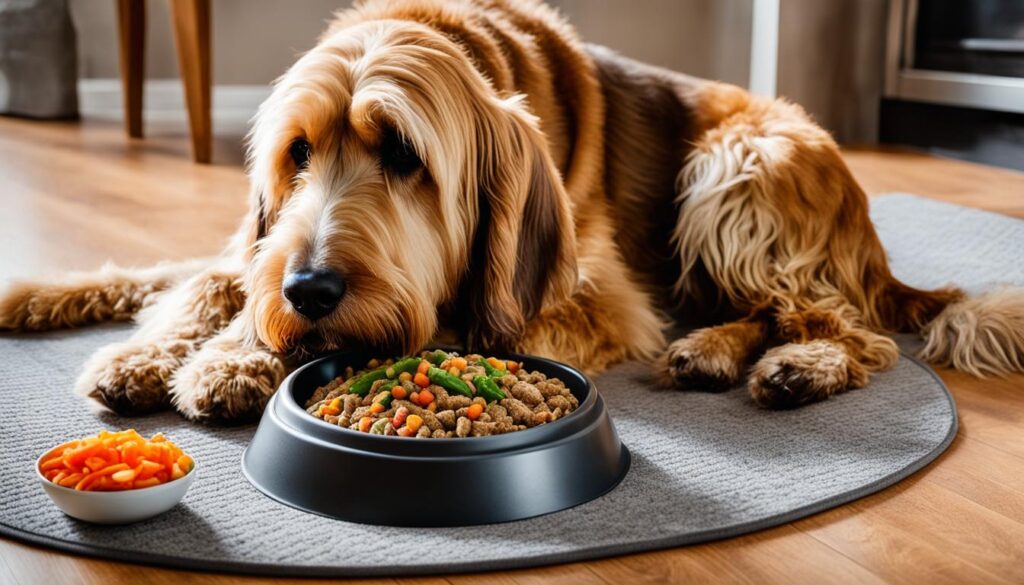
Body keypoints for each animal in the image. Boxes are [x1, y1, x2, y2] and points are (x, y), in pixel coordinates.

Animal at [2, 0, 1024, 422]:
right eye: (297, 155)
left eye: (403, 155)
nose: (312, 288)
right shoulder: (255, 243)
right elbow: (184, 279)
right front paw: (113, 334)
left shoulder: (584, 298)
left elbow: (419, 320)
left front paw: (231, 358)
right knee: (770, 310)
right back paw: (710, 349)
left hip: (732, 173)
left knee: (844, 325)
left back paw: (799, 364)